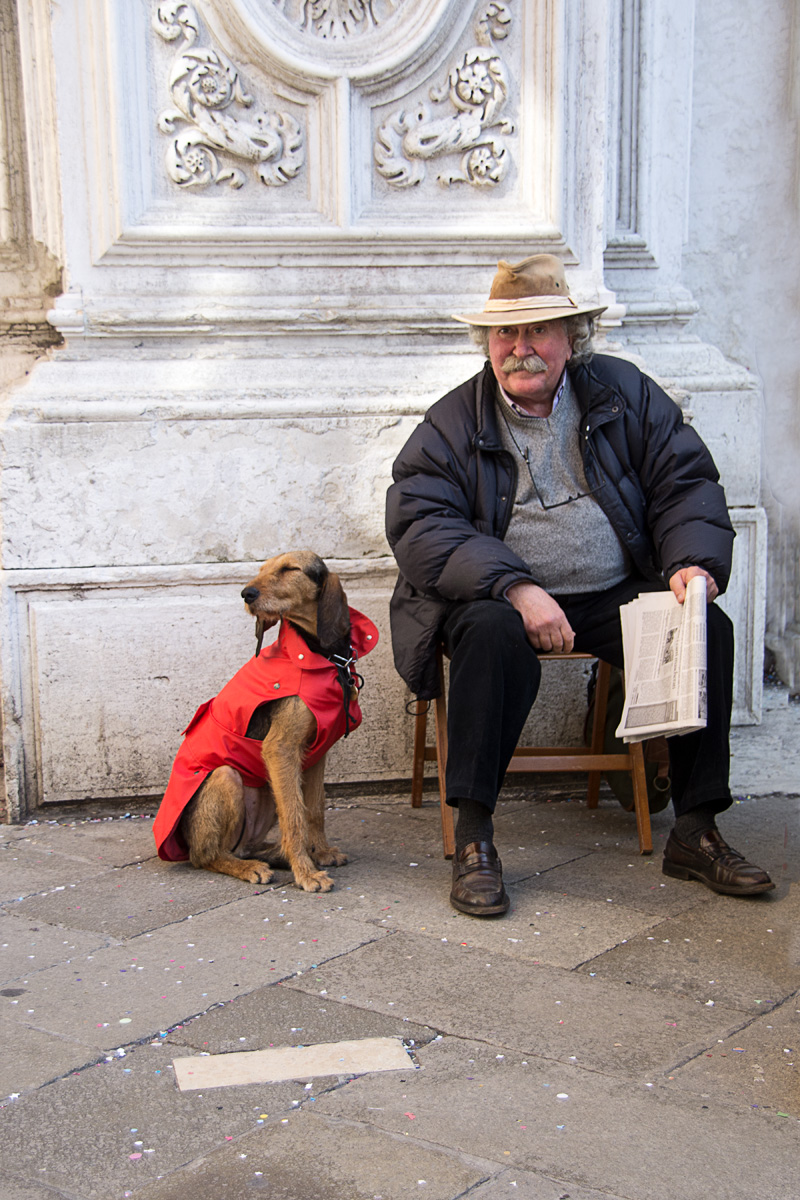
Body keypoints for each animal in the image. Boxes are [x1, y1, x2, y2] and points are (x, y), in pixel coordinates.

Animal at [155, 552, 381, 892]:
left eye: (289, 569)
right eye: (261, 569)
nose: (246, 594)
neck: (319, 653)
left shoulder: (315, 754)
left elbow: (314, 809)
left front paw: (321, 853)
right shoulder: (281, 749)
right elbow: (295, 816)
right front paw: (307, 873)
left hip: (266, 790)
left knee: (247, 846)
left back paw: (276, 855)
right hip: (226, 778)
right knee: (207, 855)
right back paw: (251, 867)